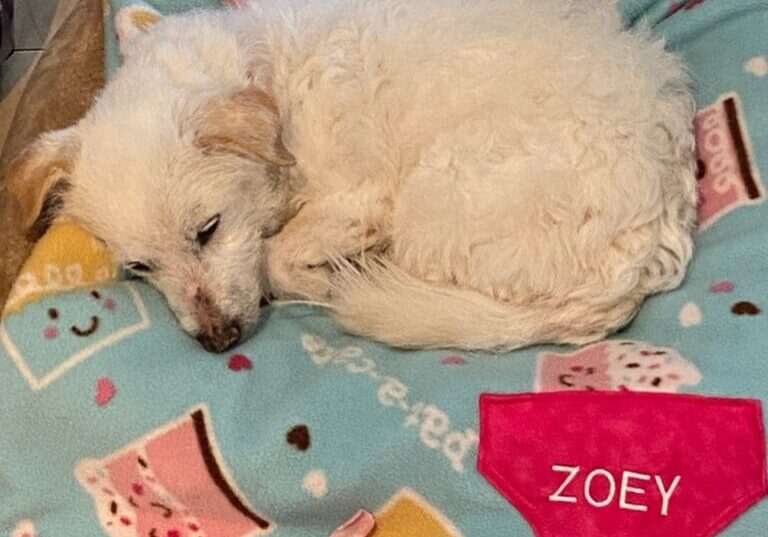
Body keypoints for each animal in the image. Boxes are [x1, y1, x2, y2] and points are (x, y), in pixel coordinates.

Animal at [9, 0, 700, 352]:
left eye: (208, 230)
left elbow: (276, 257)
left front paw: (315, 274)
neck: (270, 76)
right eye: (140, 268)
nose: (217, 341)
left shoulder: (358, 200)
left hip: (431, 200)